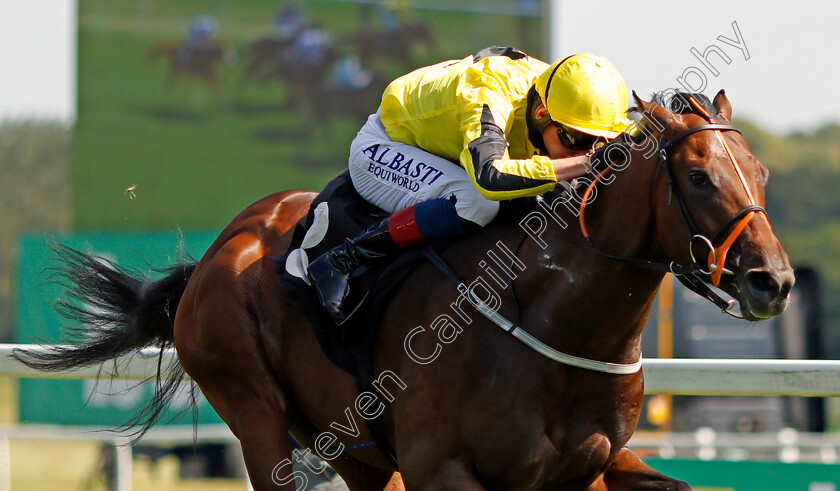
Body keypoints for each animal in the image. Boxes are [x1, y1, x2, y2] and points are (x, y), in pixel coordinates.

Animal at [14, 90, 796, 490]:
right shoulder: (441, 468)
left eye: (759, 170)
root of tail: (220, 249)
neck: (550, 321)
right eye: (698, 176)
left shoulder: (582, 470)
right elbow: (488, 175)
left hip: (352, 448)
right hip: (256, 413)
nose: (774, 280)